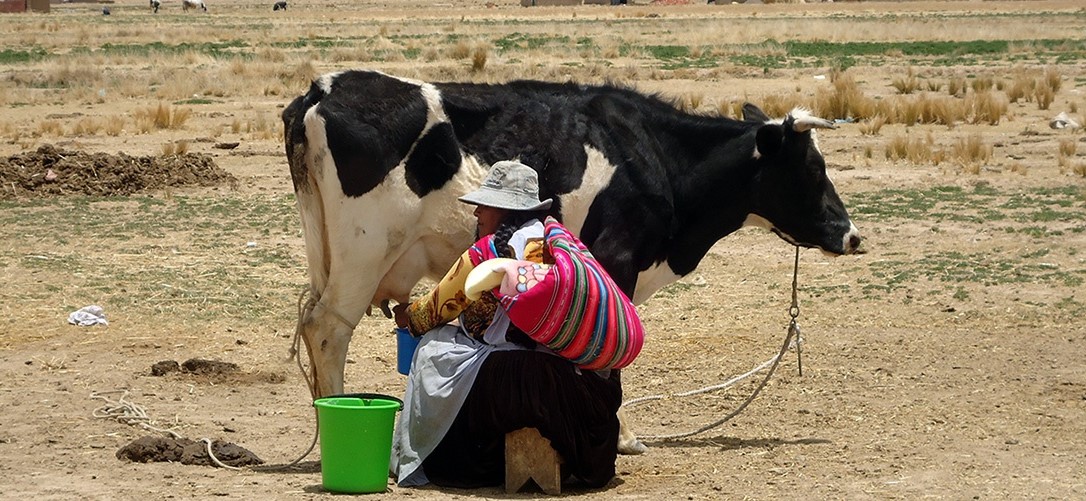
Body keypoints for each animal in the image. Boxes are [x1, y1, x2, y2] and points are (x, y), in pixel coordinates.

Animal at [284, 68, 860, 454]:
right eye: (811, 169)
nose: (851, 235)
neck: (653, 157)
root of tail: (324, 89)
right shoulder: (617, 261)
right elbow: (613, 351)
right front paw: (620, 436)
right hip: (363, 252)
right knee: (327, 328)